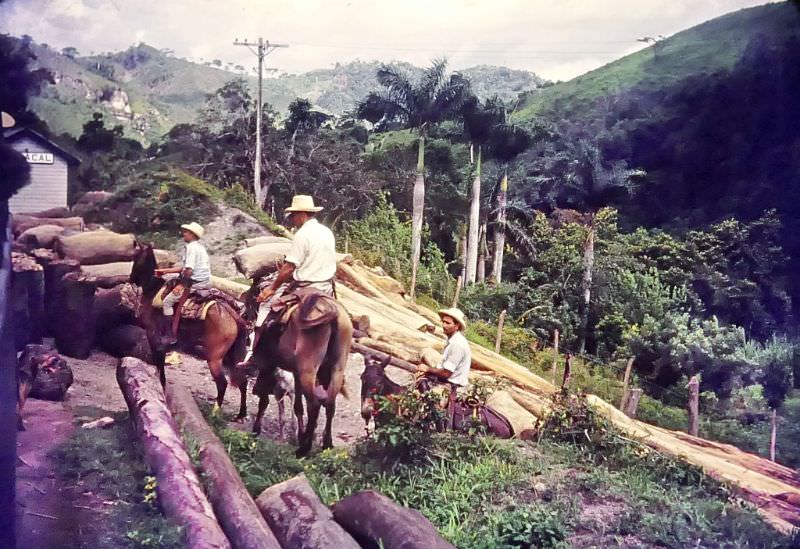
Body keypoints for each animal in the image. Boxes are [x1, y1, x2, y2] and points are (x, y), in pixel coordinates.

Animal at [130, 242, 248, 418]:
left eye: (136, 258)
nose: (131, 278)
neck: (153, 291)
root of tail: (232, 314)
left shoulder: (153, 336)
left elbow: (159, 363)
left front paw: (161, 386)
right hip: (233, 357)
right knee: (242, 380)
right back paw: (241, 414)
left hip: (214, 358)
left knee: (222, 383)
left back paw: (215, 412)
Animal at [248, 292, 352, 458]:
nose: (254, 390)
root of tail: (334, 313)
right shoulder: (295, 374)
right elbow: (298, 407)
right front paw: (300, 436)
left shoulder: (269, 366)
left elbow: (265, 400)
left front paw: (256, 430)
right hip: (337, 369)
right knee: (329, 404)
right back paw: (326, 444)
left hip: (308, 371)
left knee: (314, 405)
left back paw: (304, 449)